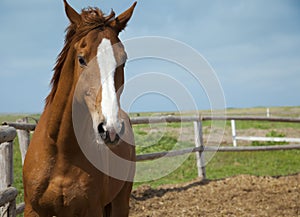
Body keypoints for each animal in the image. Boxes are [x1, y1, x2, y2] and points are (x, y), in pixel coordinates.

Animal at [22, 0, 137, 216]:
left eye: (123, 60)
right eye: (81, 59)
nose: (110, 129)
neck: (61, 152)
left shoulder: (93, 209)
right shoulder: (32, 209)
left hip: (120, 202)